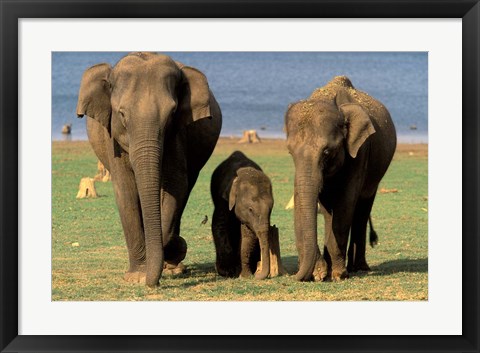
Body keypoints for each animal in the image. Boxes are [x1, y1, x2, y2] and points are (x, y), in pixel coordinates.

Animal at [76, 51, 223, 286]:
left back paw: (173, 266)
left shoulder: (177, 135)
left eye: (172, 113)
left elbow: (175, 185)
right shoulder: (112, 140)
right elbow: (125, 190)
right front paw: (136, 277)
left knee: (186, 188)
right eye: (122, 114)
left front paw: (170, 255)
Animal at [210, 150, 274, 280]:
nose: (257, 274)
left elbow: (248, 236)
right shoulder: (223, 198)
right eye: (250, 209)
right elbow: (219, 225)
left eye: (271, 209)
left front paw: (245, 275)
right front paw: (228, 271)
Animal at [284, 76, 398, 280]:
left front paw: (338, 275)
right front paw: (322, 272)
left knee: (361, 209)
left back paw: (357, 268)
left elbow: (345, 204)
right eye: (290, 152)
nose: (295, 276)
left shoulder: (360, 151)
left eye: (327, 151)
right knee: (330, 212)